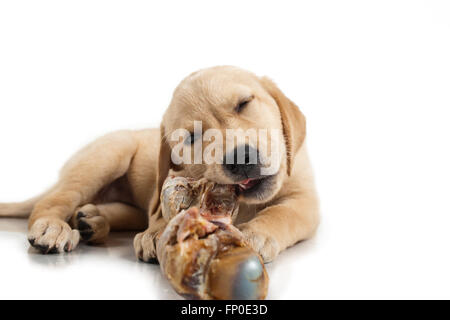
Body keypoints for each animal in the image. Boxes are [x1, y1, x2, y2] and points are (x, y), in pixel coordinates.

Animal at [0, 65, 320, 262]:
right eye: (192, 137)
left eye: (244, 104)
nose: (241, 158)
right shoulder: (165, 189)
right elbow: (166, 210)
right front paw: (158, 232)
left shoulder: (304, 201)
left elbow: (281, 213)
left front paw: (256, 233)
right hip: (108, 154)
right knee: (53, 201)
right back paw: (53, 227)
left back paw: (92, 220)